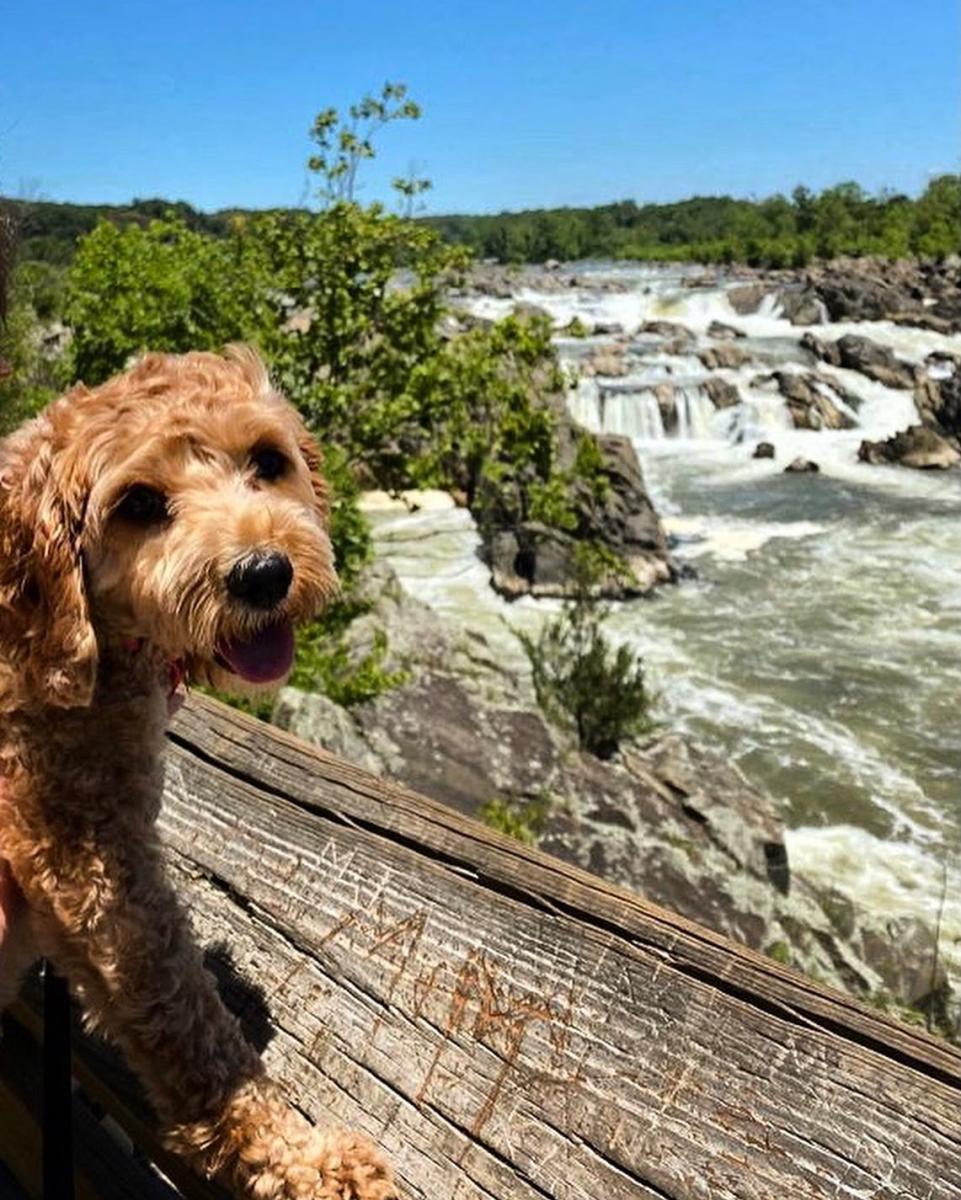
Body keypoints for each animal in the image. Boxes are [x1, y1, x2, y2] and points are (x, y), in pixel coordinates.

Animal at [0, 348, 398, 1200]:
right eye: (140, 504)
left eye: (268, 462)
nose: (263, 573)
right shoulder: (83, 851)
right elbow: (183, 1017)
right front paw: (300, 1159)